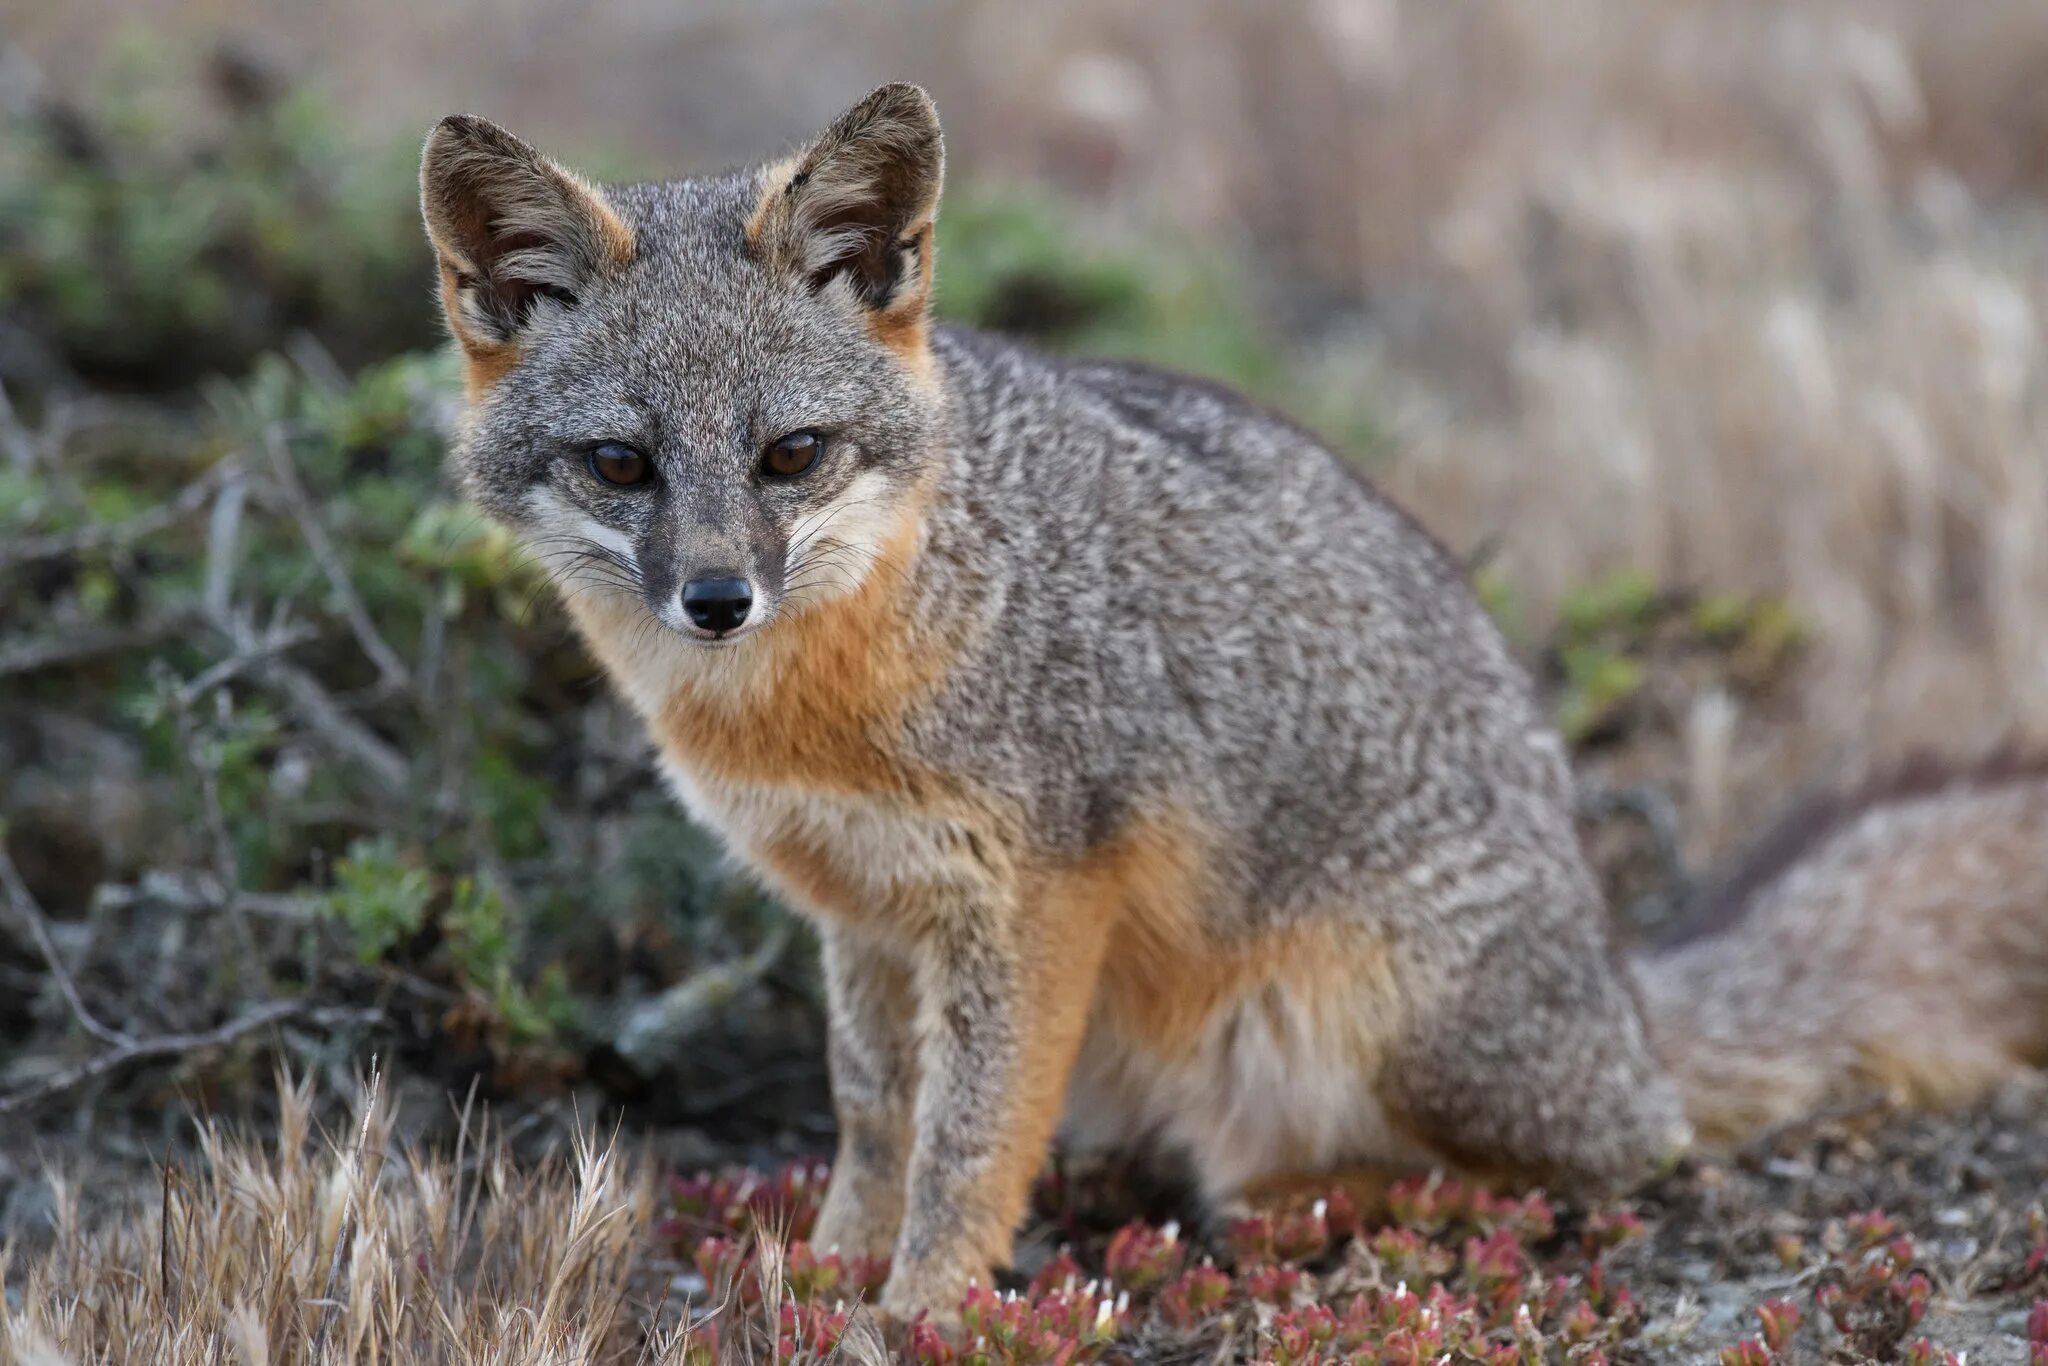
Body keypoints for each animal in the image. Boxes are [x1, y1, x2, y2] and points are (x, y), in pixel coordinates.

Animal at [415, 85, 2048, 1327]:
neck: (812, 697)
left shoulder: (1032, 896)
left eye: (791, 455)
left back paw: (1330, 1192)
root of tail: (1625, 994)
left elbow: (968, 1139)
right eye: (621, 466)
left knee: (1610, 1157)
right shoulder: (862, 911)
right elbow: (875, 1116)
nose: (714, 598)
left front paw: (921, 1309)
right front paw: (822, 1274)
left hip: (1376, 1018)